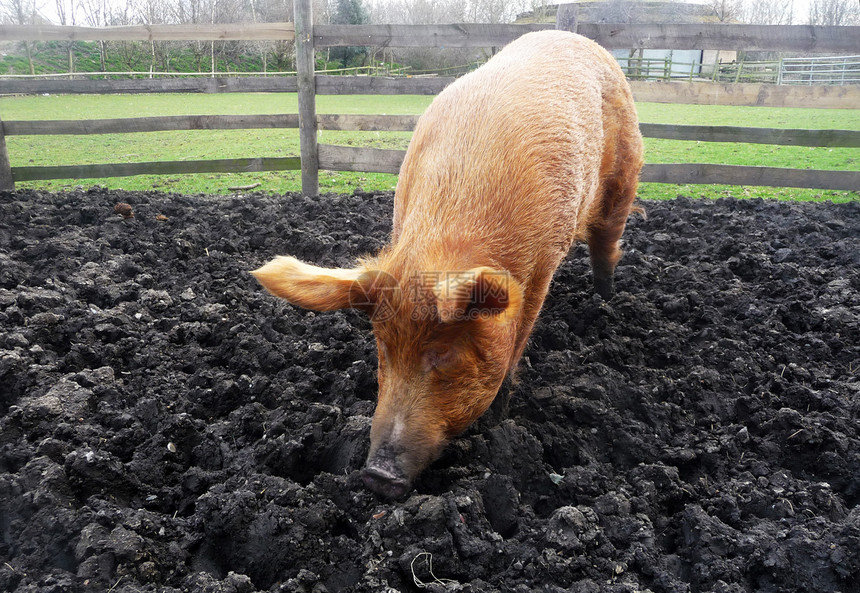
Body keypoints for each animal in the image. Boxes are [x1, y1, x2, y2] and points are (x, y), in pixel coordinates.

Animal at [252, 30, 640, 498]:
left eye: (444, 354)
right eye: (383, 347)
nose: (376, 476)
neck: (442, 240)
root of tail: (576, 37)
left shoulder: (541, 270)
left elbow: (518, 341)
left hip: (624, 173)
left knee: (607, 241)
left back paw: (604, 301)